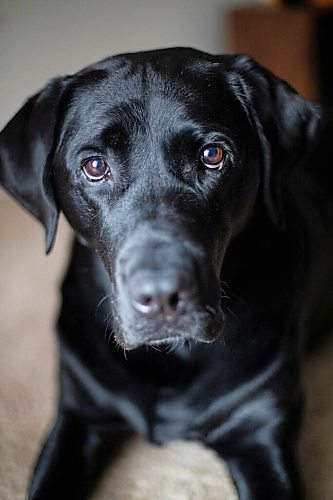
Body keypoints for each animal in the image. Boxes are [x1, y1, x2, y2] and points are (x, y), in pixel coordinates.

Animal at [0, 47, 332, 500]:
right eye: (95, 165)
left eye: (212, 155)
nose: (161, 297)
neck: (170, 359)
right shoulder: (79, 414)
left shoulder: (260, 433)